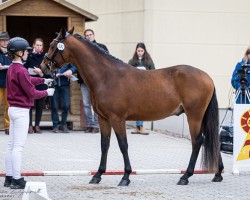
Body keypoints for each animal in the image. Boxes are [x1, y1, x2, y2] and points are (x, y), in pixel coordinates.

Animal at [40, 26, 224, 186]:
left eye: (52, 46)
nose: (43, 67)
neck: (106, 76)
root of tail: (207, 77)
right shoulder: (103, 119)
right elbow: (104, 145)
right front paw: (98, 175)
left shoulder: (117, 119)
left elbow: (123, 145)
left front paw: (126, 176)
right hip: (201, 116)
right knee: (212, 139)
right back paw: (217, 173)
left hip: (194, 116)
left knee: (198, 141)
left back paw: (185, 176)